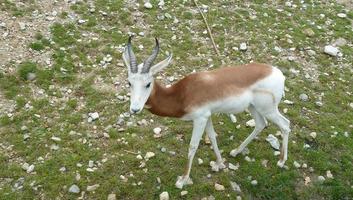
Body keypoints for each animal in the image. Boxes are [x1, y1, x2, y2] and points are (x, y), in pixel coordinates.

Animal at [122, 36, 290, 189]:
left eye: (148, 84)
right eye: (129, 82)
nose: (135, 109)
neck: (182, 94)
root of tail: (279, 73)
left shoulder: (200, 118)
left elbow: (193, 146)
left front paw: (182, 180)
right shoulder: (207, 116)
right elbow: (213, 136)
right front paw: (220, 163)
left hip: (268, 109)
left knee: (285, 124)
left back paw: (281, 161)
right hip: (253, 107)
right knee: (261, 124)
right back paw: (235, 152)